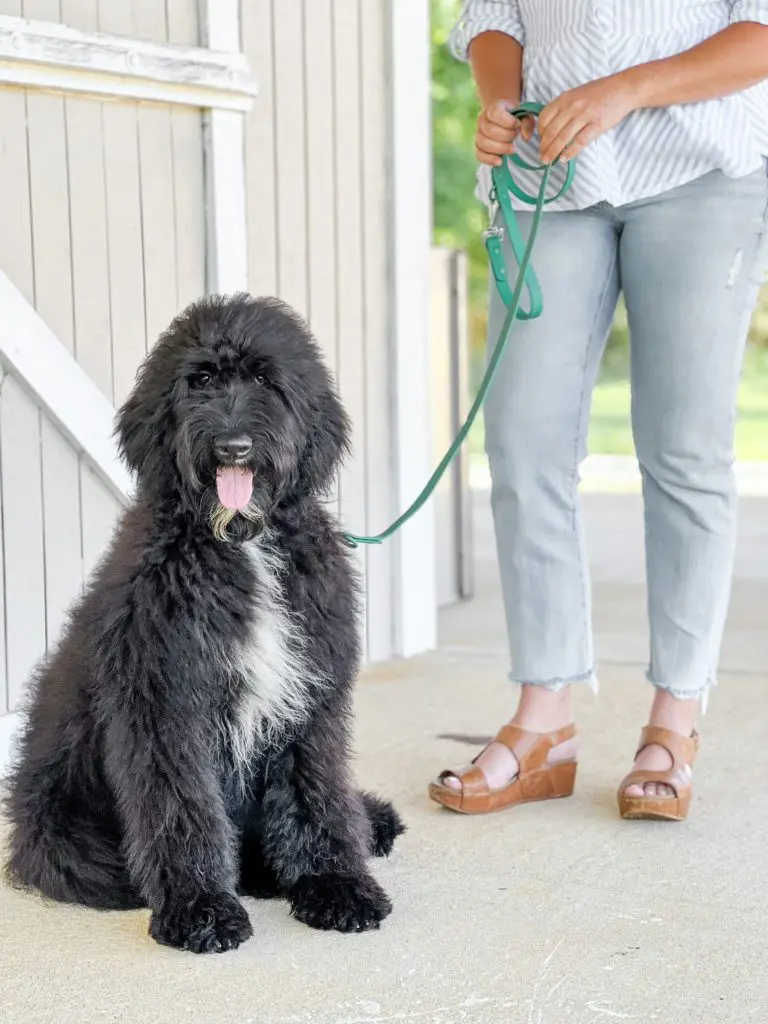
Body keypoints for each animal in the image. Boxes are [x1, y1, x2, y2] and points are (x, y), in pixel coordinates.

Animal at [3, 294, 405, 950]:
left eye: (266, 380)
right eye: (202, 381)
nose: (233, 446)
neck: (241, 542)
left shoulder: (310, 696)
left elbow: (316, 792)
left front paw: (335, 885)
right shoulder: (165, 700)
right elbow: (181, 805)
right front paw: (201, 908)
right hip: (69, 838)